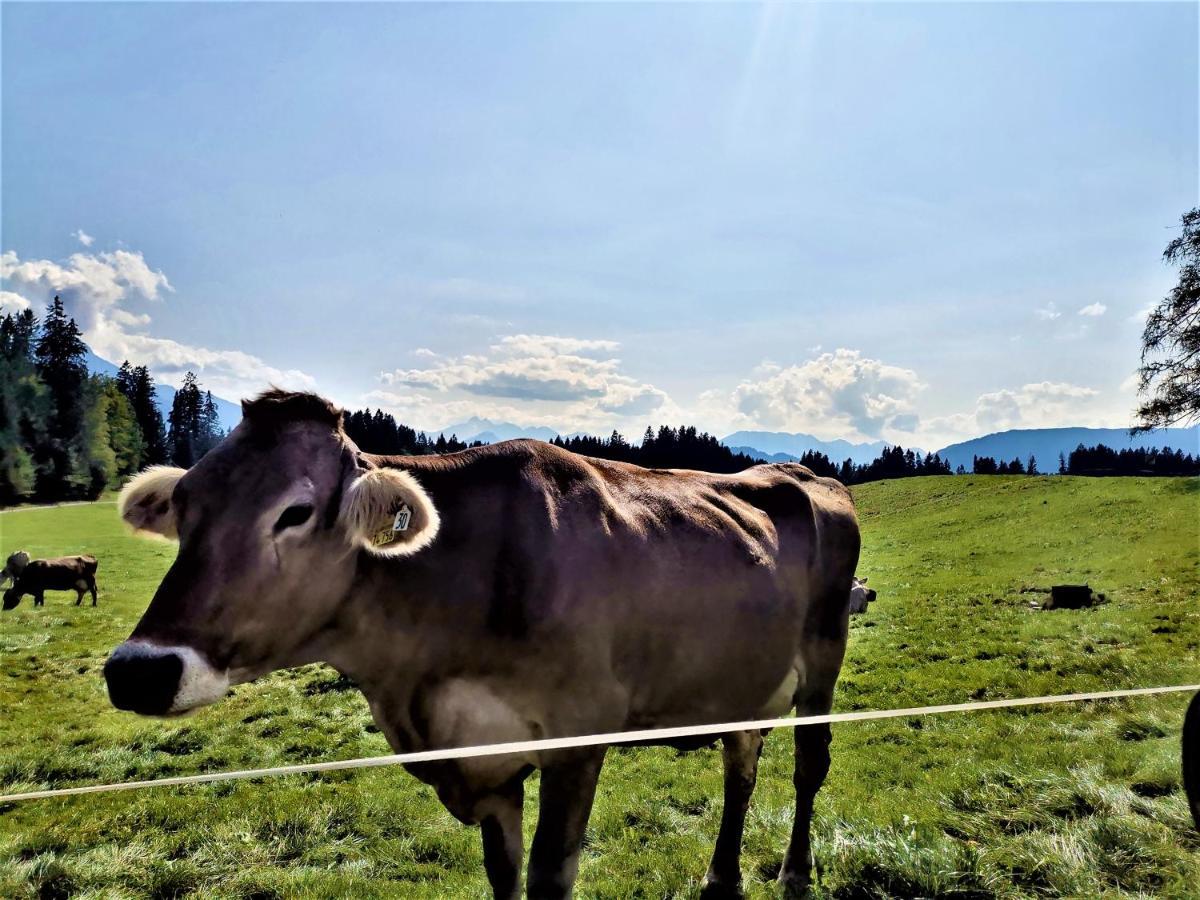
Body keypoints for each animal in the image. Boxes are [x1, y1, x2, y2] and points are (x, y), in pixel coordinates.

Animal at [105, 388, 864, 900]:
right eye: (185, 508)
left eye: (294, 512)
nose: (138, 672)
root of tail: (804, 473)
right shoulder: (487, 761)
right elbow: (504, 875)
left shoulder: (579, 736)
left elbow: (550, 876)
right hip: (744, 676)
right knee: (742, 768)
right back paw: (721, 878)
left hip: (824, 658)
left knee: (808, 766)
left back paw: (795, 872)